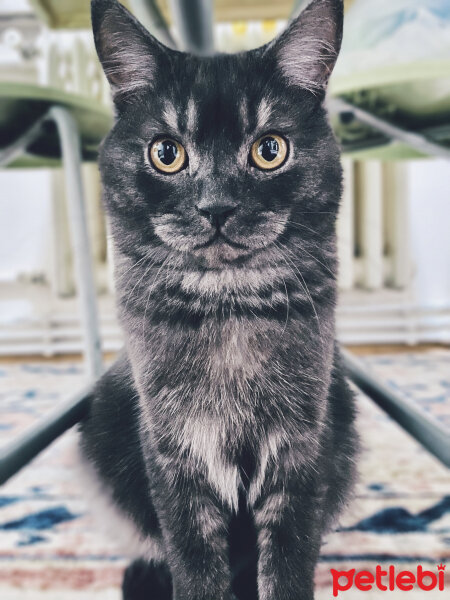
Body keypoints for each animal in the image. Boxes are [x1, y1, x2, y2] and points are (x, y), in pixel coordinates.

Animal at [80, 1, 358, 600]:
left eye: (269, 149)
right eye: (166, 153)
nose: (217, 207)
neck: (228, 308)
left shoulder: (302, 447)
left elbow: (287, 562)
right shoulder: (173, 451)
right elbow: (195, 561)